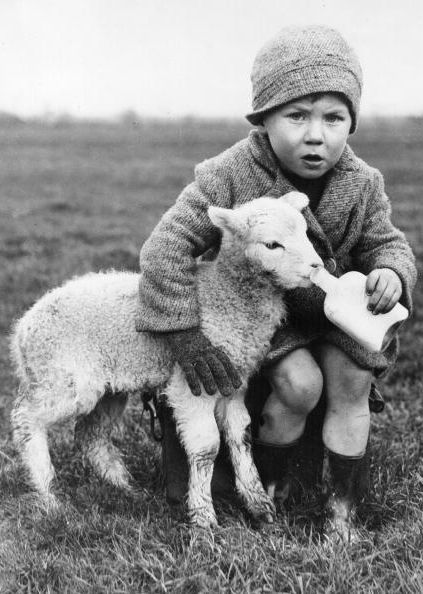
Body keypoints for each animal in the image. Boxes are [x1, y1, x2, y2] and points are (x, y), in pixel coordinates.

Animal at [11, 192, 324, 524]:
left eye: (305, 233)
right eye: (272, 245)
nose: (316, 266)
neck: (225, 294)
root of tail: (23, 328)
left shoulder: (234, 384)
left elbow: (242, 438)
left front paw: (258, 504)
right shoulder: (195, 382)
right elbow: (206, 448)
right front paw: (203, 516)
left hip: (108, 386)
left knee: (90, 435)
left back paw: (125, 488)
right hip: (63, 377)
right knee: (25, 418)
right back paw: (48, 495)